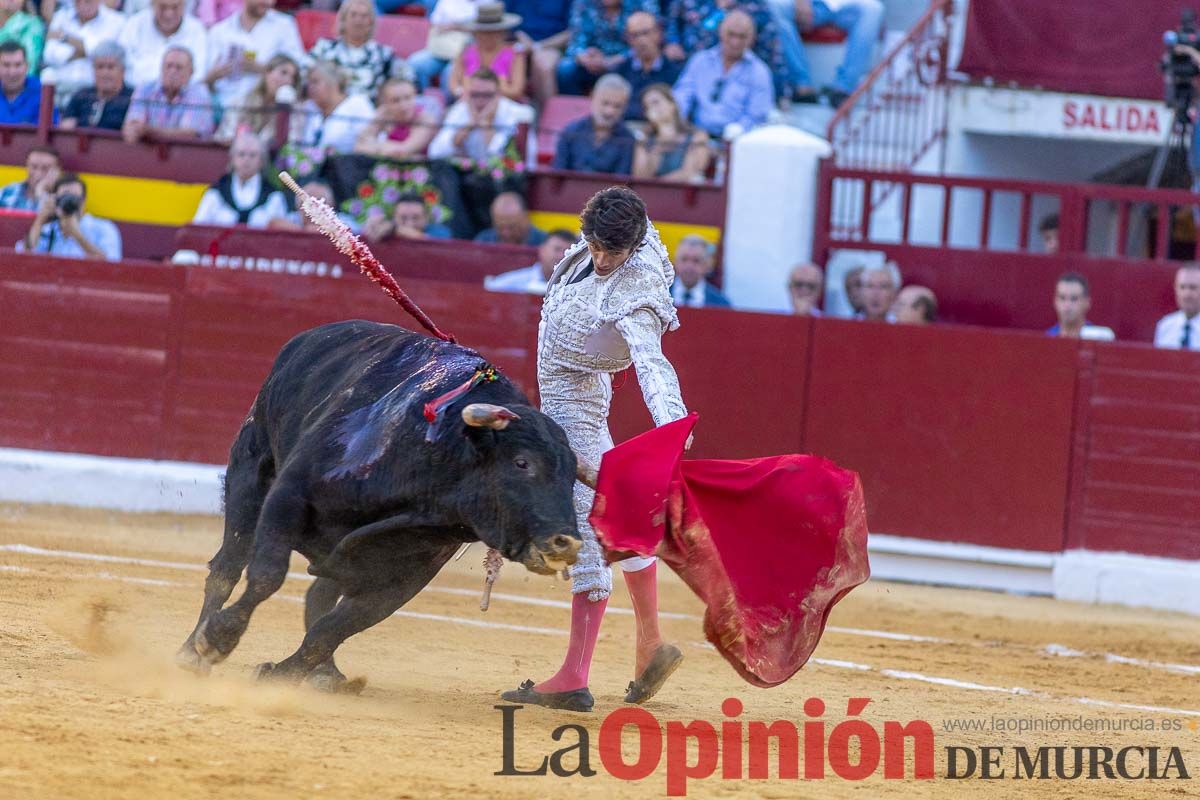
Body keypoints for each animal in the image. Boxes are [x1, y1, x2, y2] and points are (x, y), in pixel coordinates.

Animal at [177, 319, 585, 690]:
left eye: (571, 477)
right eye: (522, 463)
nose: (567, 542)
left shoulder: (406, 575)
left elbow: (334, 628)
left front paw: (281, 676)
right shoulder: (288, 496)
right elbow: (267, 575)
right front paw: (218, 639)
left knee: (319, 595)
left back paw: (327, 674)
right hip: (249, 473)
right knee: (227, 567)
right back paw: (192, 651)